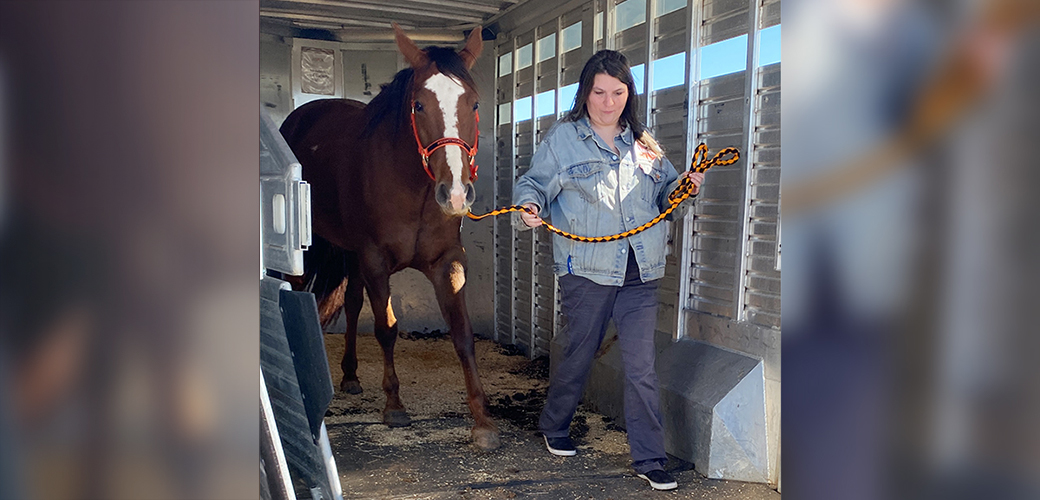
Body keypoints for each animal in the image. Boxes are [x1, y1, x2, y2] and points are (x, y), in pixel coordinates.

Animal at [280, 25, 499, 451]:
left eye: (475, 104)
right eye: (418, 106)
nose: (456, 193)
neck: (413, 188)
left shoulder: (448, 261)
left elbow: (462, 334)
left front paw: (482, 420)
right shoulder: (376, 260)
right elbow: (386, 328)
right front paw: (394, 406)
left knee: (350, 305)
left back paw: (350, 375)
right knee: (299, 289)